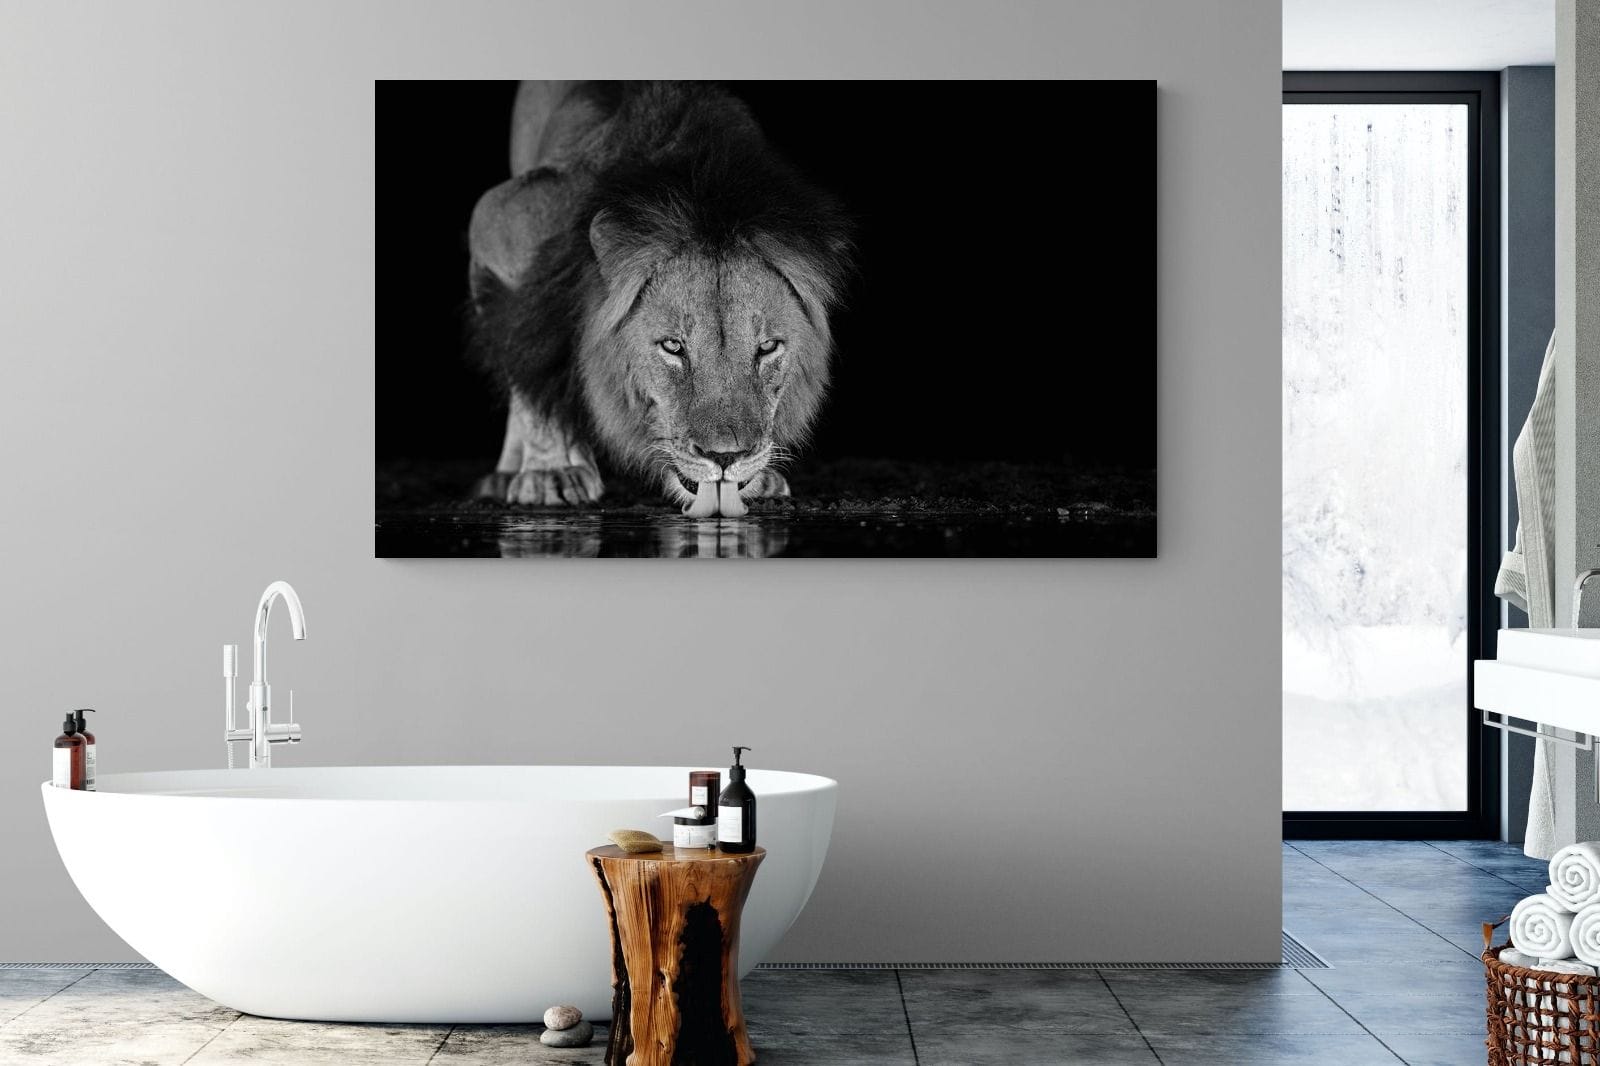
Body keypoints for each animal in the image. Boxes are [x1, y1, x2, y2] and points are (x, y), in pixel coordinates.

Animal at [466, 81, 854, 519]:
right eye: (672, 346)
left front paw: (762, 476)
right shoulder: (500, 222)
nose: (726, 457)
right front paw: (550, 472)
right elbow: (530, 356)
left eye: (768, 347)